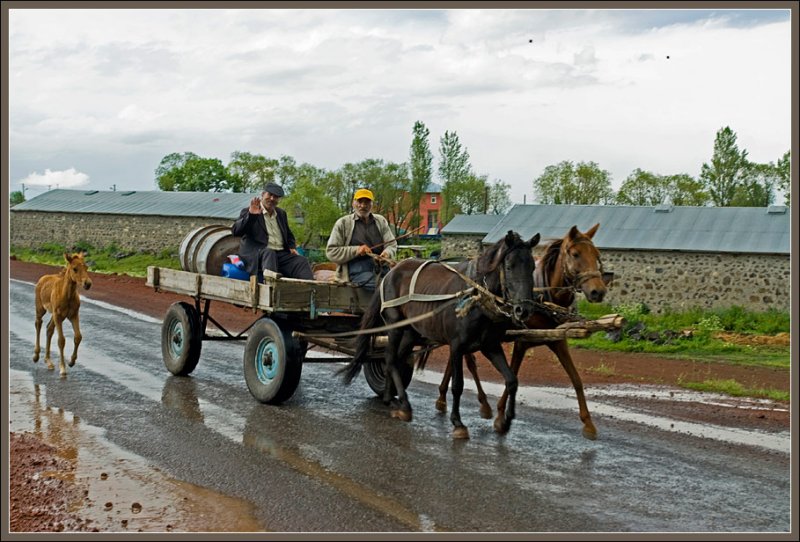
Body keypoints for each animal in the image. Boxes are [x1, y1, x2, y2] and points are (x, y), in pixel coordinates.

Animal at [340, 232, 540, 440]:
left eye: (532, 267)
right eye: (509, 266)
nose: (524, 310)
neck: (475, 297)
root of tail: (390, 272)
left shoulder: (490, 345)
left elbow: (512, 380)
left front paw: (505, 420)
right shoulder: (457, 346)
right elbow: (458, 385)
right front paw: (458, 423)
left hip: (411, 331)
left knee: (397, 358)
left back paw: (390, 397)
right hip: (394, 326)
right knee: (390, 358)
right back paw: (404, 404)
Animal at [434, 225, 608, 442]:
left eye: (597, 255)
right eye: (575, 254)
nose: (598, 291)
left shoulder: (557, 340)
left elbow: (576, 379)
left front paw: (588, 423)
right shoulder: (522, 340)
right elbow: (513, 372)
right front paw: (501, 416)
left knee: (457, 361)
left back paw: (446, 399)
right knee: (468, 363)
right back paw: (478, 404)